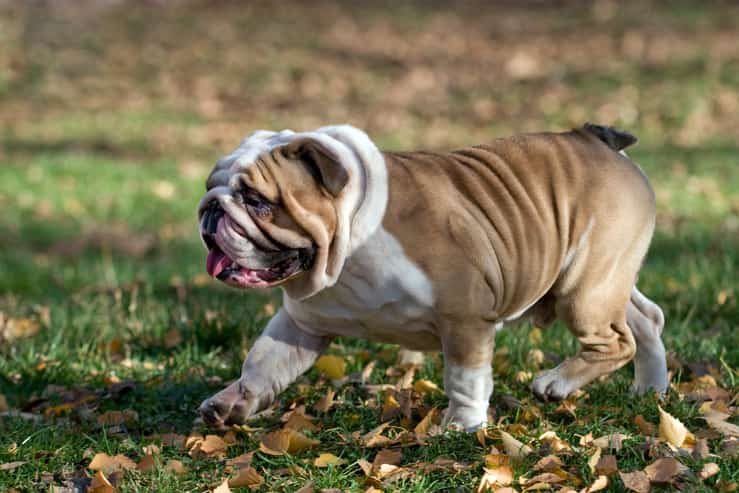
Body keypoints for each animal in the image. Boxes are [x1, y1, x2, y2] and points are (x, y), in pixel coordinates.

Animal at [194, 124, 668, 430]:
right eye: (209, 185)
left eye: (256, 200)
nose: (211, 208)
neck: (350, 238)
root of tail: (594, 137)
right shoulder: (302, 324)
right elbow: (262, 361)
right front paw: (234, 400)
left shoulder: (464, 316)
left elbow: (464, 377)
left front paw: (462, 425)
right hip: (605, 279)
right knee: (647, 319)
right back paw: (651, 390)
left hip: (584, 291)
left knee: (617, 340)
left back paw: (557, 382)